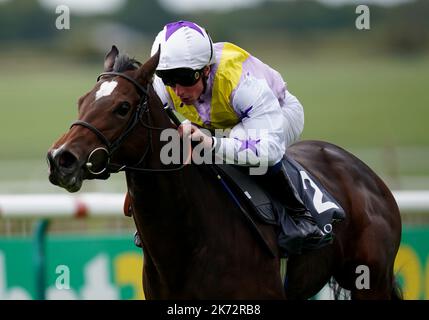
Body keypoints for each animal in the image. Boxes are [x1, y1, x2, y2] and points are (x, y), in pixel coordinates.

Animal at [46, 45, 402, 300]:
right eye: (82, 101)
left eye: (122, 107)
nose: (61, 159)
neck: (188, 242)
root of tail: (365, 173)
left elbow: (262, 148)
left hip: (371, 280)